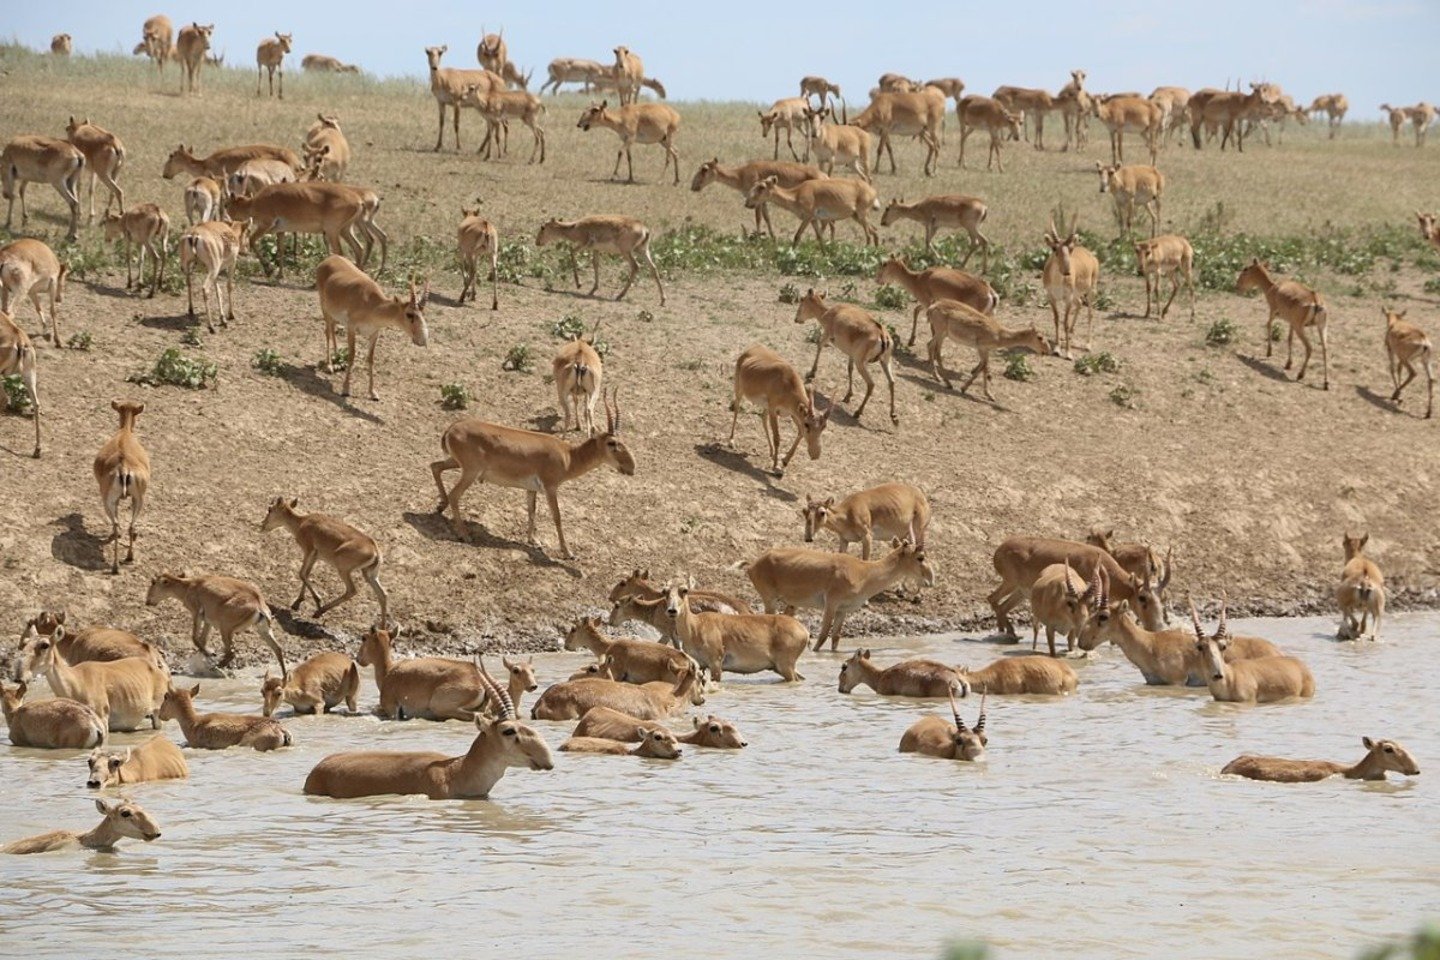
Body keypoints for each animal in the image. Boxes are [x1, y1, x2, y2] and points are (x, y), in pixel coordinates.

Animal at [432, 388, 636, 558]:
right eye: (612, 443)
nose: (632, 467)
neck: (569, 456)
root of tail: (452, 428)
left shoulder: (531, 489)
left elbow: (531, 510)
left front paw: (533, 540)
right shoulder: (551, 488)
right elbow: (557, 517)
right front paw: (568, 553)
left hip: (458, 464)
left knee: (435, 466)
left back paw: (440, 506)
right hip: (470, 472)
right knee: (454, 494)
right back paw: (465, 535)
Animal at [794, 289, 892, 423]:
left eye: (802, 300)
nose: (796, 319)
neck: (828, 313)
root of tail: (882, 335)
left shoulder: (827, 334)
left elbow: (819, 345)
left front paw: (811, 373)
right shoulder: (851, 354)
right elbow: (849, 369)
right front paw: (848, 396)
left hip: (861, 363)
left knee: (871, 384)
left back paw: (858, 412)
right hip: (884, 362)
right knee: (892, 382)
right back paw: (894, 416)